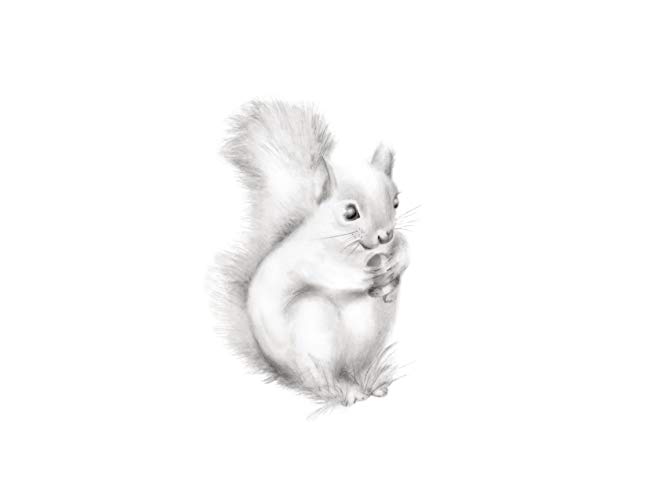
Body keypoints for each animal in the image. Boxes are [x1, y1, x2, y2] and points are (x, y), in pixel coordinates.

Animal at [211, 101, 410, 409]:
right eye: (350, 213)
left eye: (396, 202)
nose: (384, 235)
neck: (357, 251)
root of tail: (282, 368)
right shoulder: (310, 258)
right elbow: (333, 273)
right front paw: (367, 276)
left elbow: (405, 245)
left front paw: (397, 262)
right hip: (314, 325)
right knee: (320, 379)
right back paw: (345, 391)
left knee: (356, 368)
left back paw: (371, 384)